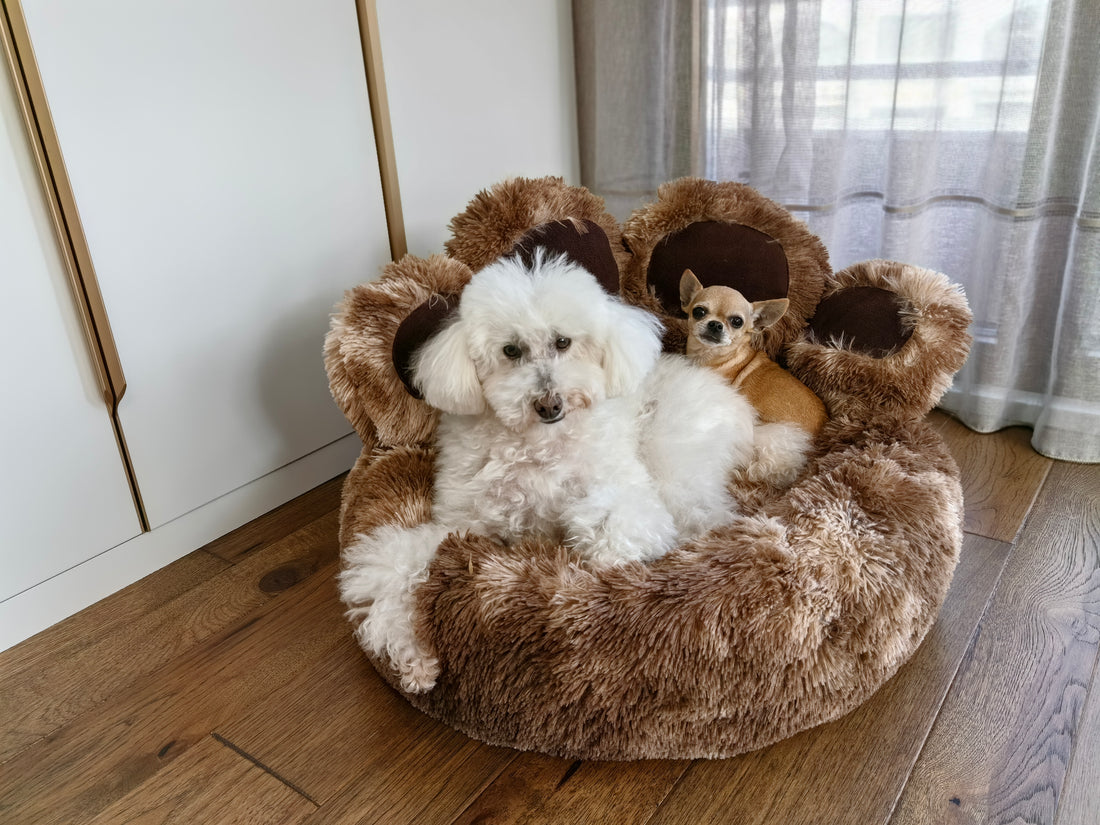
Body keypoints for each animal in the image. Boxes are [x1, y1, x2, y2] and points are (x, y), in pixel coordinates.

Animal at [343, 255, 756, 695]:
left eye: (563, 343)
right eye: (511, 350)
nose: (548, 403)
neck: (538, 444)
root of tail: (734, 400)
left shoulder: (630, 498)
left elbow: (615, 523)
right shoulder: (458, 525)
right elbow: (394, 566)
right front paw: (411, 655)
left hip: (673, 459)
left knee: (705, 517)